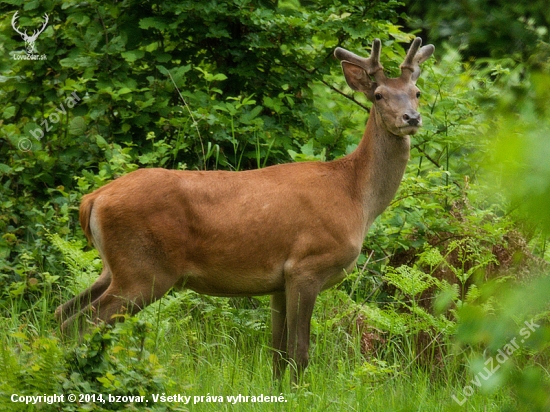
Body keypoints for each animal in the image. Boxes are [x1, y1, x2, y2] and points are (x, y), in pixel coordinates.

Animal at [56, 37, 436, 382]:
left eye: (417, 92)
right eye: (379, 95)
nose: (411, 118)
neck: (355, 196)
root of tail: (94, 199)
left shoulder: (279, 282)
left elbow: (277, 354)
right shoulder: (307, 265)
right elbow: (299, 352)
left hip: (115, 266)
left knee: (62, 312)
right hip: (144, 270)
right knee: (82, 322)